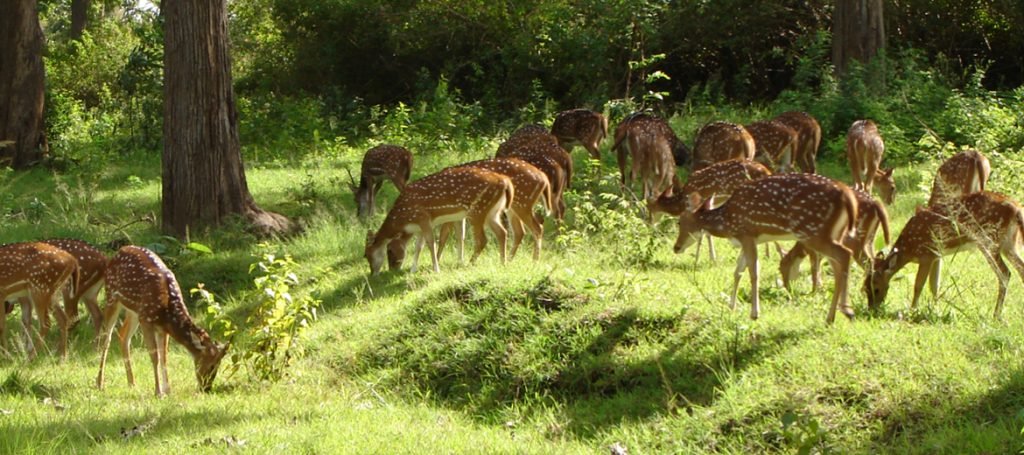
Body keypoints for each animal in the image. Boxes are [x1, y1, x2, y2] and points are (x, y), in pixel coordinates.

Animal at [95, 243, 228, 395]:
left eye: (219, 364)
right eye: (212, 365)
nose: (207, 388)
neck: (167, 310)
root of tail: (119, 251)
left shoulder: (162, 327)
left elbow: (164, 356)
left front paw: (168, 390)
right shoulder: (146, 319)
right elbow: (155, 356)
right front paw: (158, 391)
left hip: (134, 311)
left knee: (123, 335)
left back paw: (132, 383)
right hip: (112, 296)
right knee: (107, 338)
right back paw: (99, 383)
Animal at [366, 167, 516, 274]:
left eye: (367, 254)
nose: (374, 273)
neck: (405, 219)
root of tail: (505, 181)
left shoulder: (424, 218)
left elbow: (431, 243)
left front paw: (436, 269)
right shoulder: (419, 226)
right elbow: (418, 246)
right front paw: (413, 269)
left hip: (478, 209)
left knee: (482, 239)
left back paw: (470, 263)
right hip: (492, 212)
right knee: (502, 232)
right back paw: (503, 262)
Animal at [671, 173, 856, 323]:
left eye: (679, 221)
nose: (676, 247)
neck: (727, 222)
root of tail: (847, 195)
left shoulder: (746, 233)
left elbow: (753, 272)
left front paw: (754, 313)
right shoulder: (749, 239)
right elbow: (738, 271)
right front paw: (732, 306)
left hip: (813, 231)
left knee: (845, 254)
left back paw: (847, 310)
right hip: (834, 233)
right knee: (838, 265)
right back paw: (832, 316)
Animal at [864, 190, 1024, 315]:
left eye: (876, 289)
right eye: (865, 289)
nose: (872, 309)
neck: (908, 248)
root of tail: (1016, 209)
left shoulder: (926, 254)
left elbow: (919, 285)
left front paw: (913, 310)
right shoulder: (937, 255)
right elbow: (934, 286)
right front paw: (935, 310)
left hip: (988, 239)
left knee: (1005, 273)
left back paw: (996, 315)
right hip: (1009, 244)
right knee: (1020, 269)